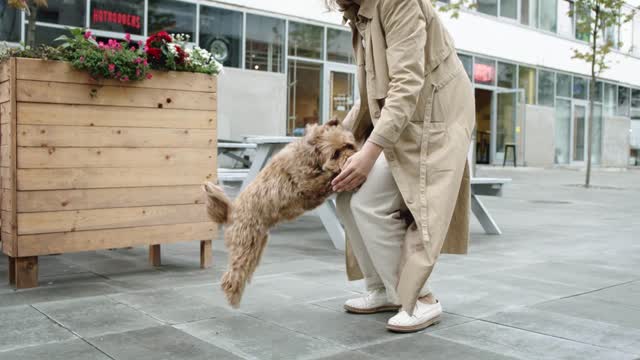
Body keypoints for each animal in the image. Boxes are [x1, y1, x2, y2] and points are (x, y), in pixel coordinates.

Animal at [204, 121, 358, 306]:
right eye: (335, 154)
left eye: (349, 145)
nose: (351, 157)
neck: (311, 155)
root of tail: (230, 212)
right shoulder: (307, 185)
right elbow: (326, 178)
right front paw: (338, 174)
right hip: (245, 244)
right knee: (232, 275)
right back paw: (233, 297)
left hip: (256, 246)